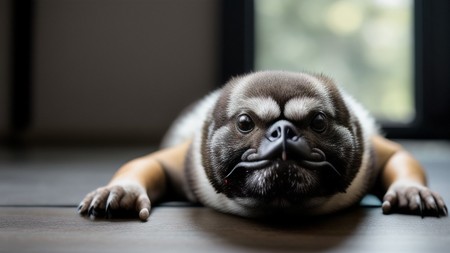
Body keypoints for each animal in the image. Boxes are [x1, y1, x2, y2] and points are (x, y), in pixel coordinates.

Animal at [77, 70, 446, 220]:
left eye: (318, 122)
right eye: (244, 123)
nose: (282, 131)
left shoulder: (370, 156)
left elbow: (396, 156)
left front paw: (410, 190)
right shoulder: (186, 163)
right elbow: (151, 164)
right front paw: (123, 191)